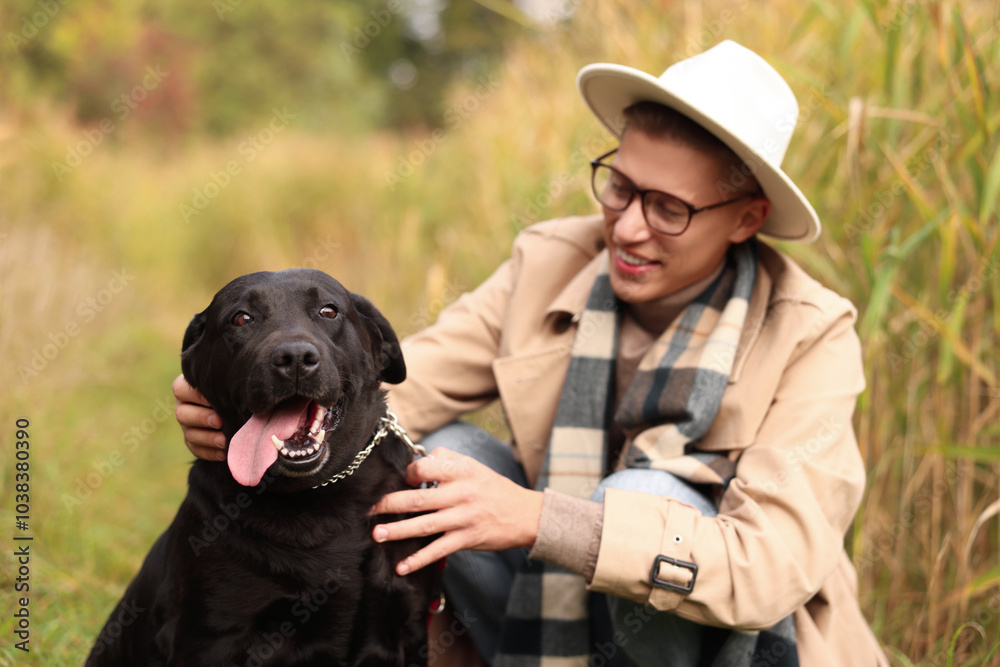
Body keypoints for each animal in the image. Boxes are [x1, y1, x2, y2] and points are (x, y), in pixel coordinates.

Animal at [89, 270, 438, 667]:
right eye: (242, 318)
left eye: (328, 311)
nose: (295, 357)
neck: (316, 498)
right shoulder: (213, 635)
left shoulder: (407, 622)